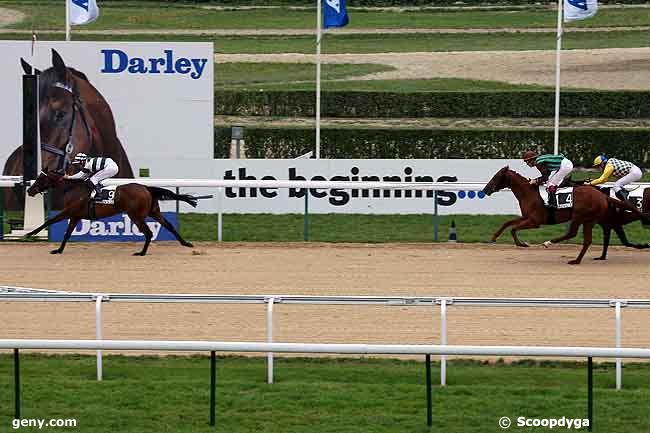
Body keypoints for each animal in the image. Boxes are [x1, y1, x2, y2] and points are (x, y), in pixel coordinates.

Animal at [480, 166, 648, 264]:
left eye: (496, 177)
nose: (485, 190)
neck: (529, 194)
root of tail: (603, 195)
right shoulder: (527, 217)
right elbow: (507, 223)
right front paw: (493, 237)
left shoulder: (535, 221)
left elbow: (513, 229)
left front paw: (523, 244)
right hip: (589, 220)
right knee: (586, 240)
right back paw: (576, 259)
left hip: (579, 216)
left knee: (573, 233)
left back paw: (551, 245)